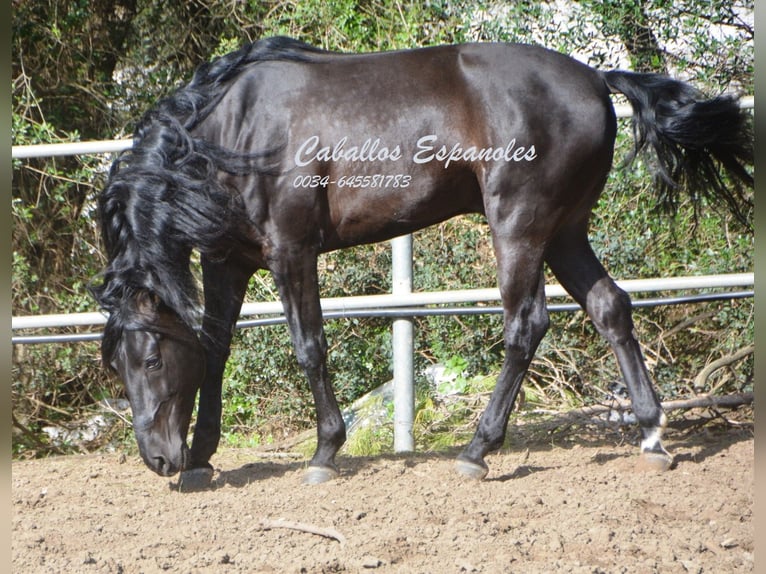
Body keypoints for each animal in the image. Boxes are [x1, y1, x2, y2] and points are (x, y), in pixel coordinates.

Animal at [91, 36, 756, 486]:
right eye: (117, 366)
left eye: (151, 359)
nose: (158, 459)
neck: (238, 130)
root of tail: (594, 77)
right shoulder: (227, 261)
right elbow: (215, 348)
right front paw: (203, 458)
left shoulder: (291, 251)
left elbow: (309, 346)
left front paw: (325, 452)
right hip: (566, 233)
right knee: (609, 306)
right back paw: (651, 435)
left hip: (519, 228)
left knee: (526, 325)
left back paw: (477, 451)